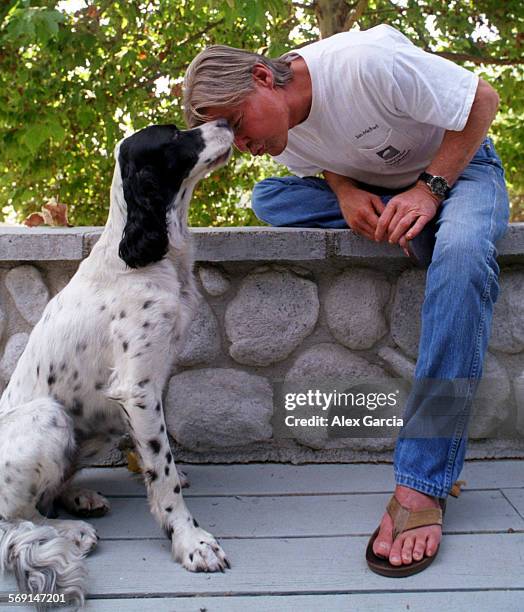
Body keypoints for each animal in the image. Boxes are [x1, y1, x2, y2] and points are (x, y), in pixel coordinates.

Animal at [0, 118, 233, 604]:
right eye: (174, 136)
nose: (225, 121)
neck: (147, 259)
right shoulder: (138, 389)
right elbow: (162, 472)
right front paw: (191, 541)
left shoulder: (143, 389)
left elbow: (155, 457)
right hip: (50, 416)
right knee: (17, 517)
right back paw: (70, 531)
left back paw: (79, 497)